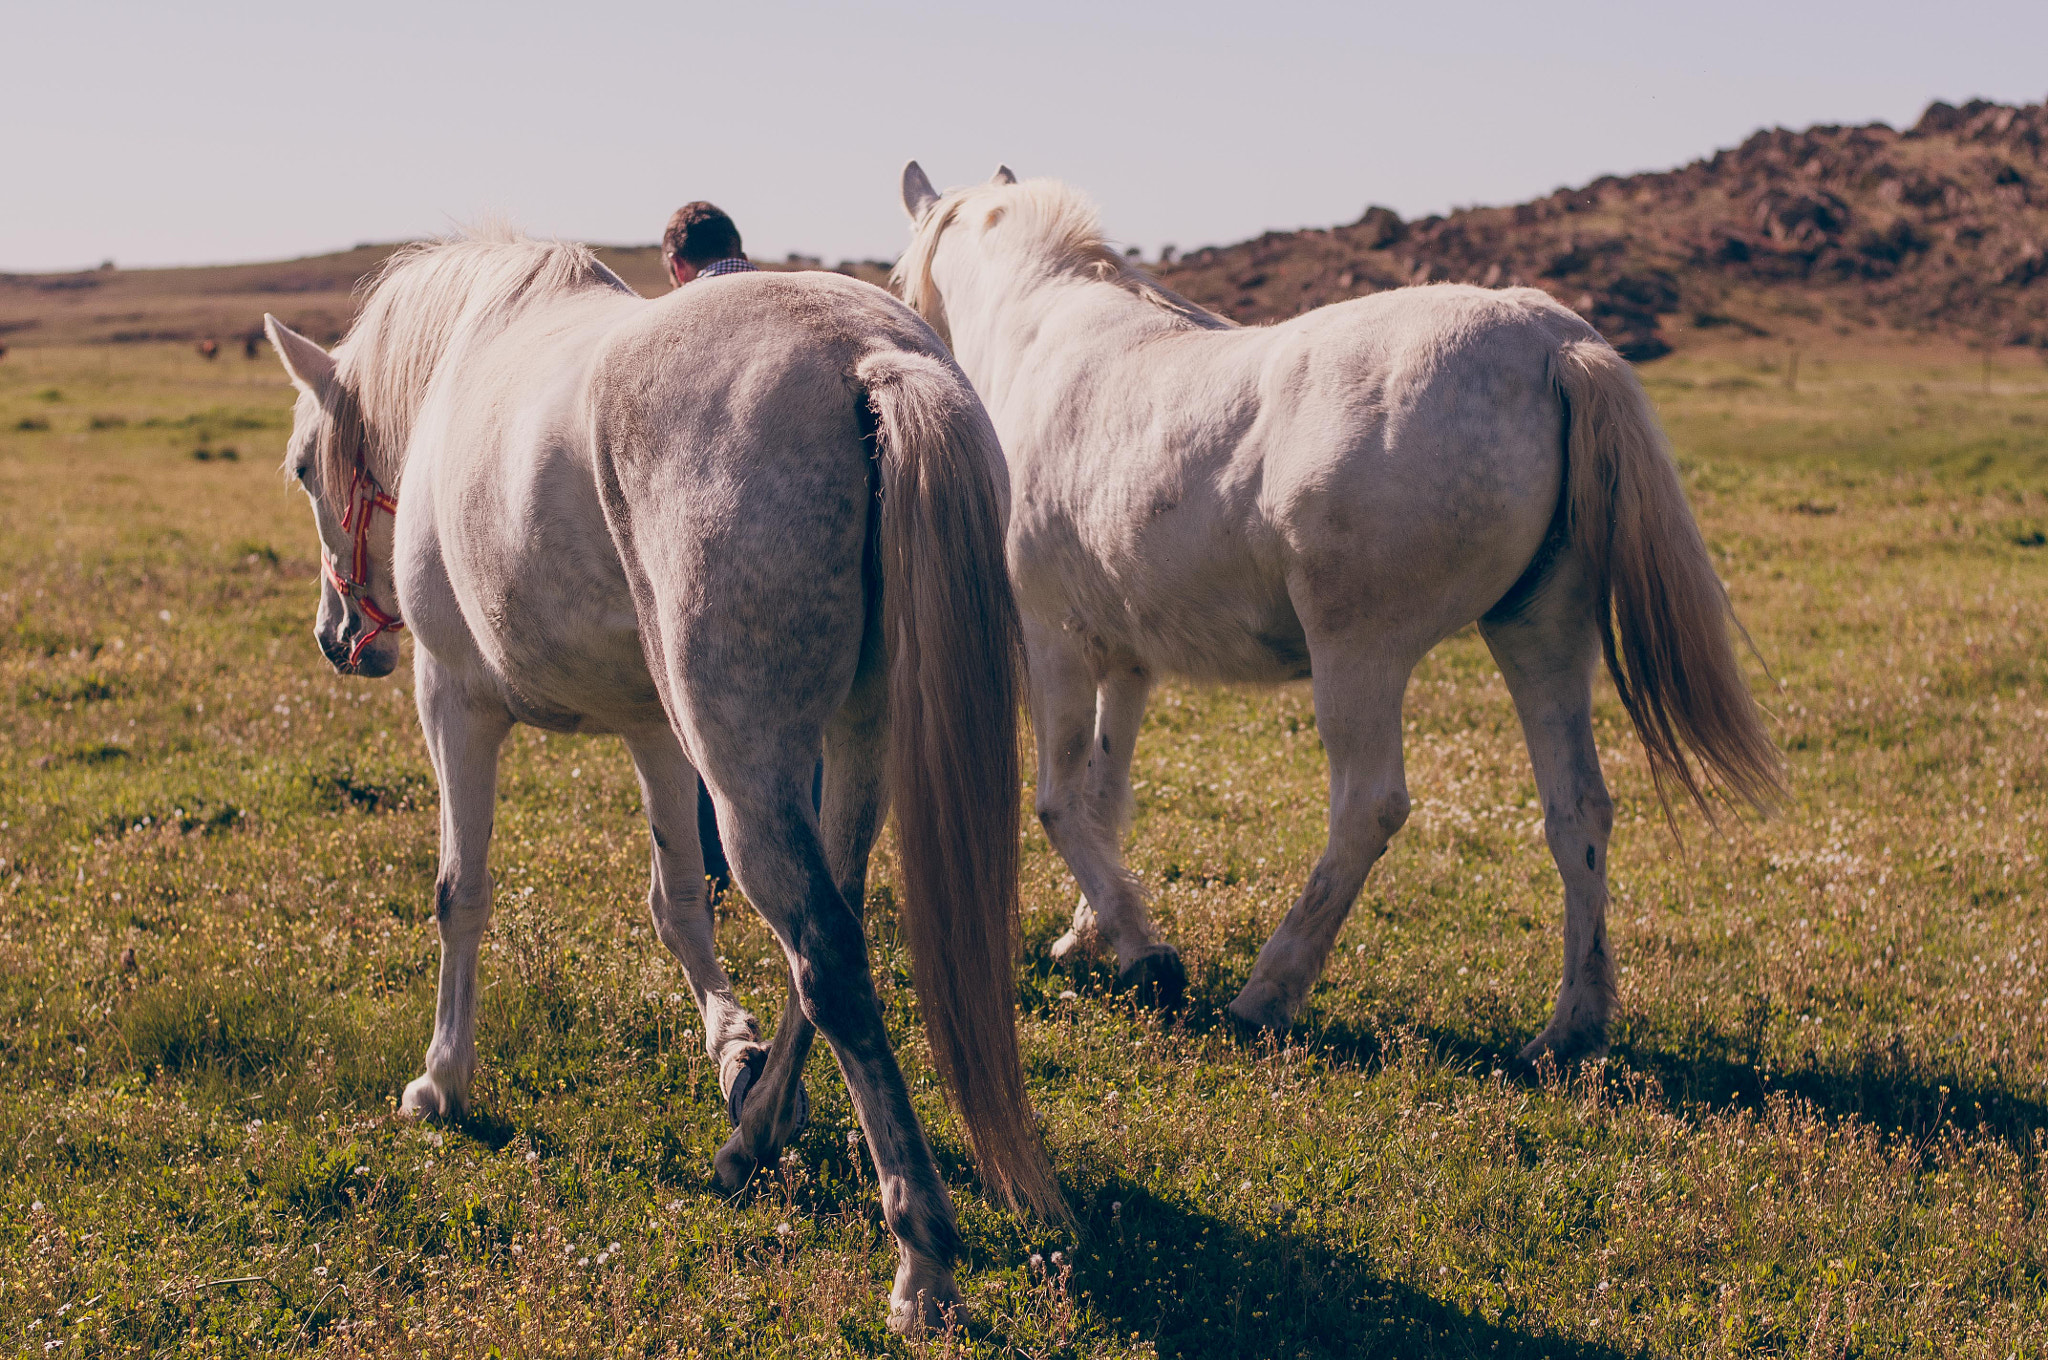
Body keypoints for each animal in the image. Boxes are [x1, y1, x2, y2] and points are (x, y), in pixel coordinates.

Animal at [260, 228, 1056, 1319]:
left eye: (304, 467)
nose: (338, 637)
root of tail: (862, 359)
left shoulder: (452, 701)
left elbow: (460, 894)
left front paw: (442, 1081)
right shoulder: (653, 731)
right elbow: (678, 902)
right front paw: (732, 1050)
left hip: (745, 758)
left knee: (828, 956)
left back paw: (920, 1255)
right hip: (851, 734)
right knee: (832, 924)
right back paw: (755, 1133)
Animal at [892, 164, 1777, 1065]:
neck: (1045, 333)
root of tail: (1551, 342)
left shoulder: (1056, 643)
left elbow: (1062, 802)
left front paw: (1145, 955)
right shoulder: (1128, 661)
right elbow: (1106, 799)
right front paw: (1093, 936)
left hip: (1360, 654)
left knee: (1368, 808)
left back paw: (1266, 994)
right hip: (1542, 637)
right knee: (1578, 810)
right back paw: (1570, 1029)